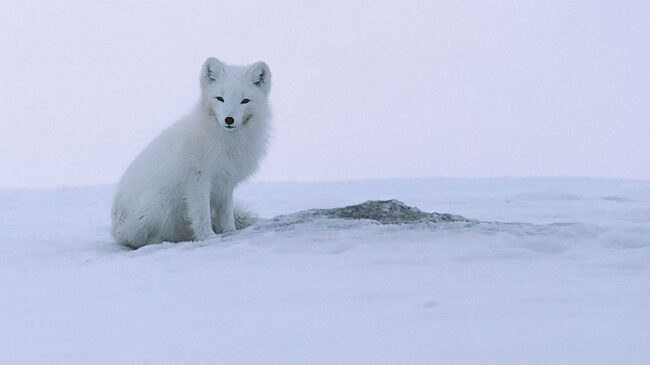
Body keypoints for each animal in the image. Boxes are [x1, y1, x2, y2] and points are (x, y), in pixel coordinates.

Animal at [111, 58, 270, 249]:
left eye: (245, 100)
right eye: (220, 98)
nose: (229, 119)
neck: (227, 140)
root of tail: (115, 230)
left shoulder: (225, 181)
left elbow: (226, 212)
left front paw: (230, 231)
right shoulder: (198, 178)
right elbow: (201, 213)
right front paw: (208, 236)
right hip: (158, 204)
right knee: (135, 240)